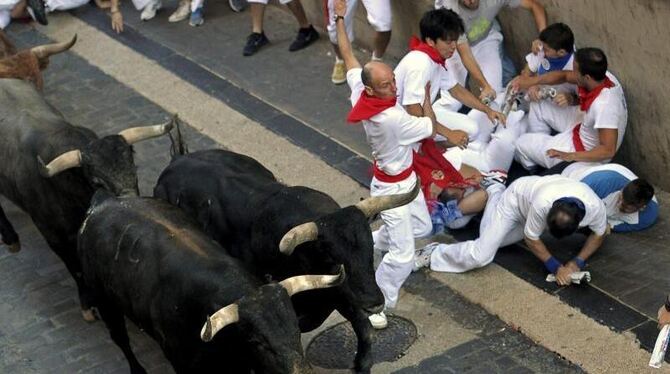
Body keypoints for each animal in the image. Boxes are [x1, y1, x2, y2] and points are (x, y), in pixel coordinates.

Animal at [155, 148, 422, 372]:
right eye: (332, 255)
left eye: (370, 246)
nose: (375, 303)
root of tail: (176, 162)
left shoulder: (339, 293)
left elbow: (365, 331)